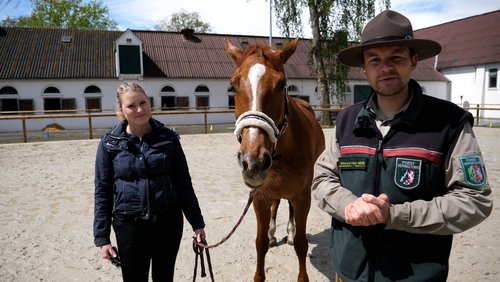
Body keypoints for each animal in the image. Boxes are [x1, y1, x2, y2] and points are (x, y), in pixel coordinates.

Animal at [225, 38, 326, 282]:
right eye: (232, 87)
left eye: (282, 85)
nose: (253, 162)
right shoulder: (260, 196)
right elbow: (260, 243)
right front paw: (267, 238)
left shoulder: (303, 196)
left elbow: (301, 243)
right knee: (277, 203)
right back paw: (273, 234)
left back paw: (288, 232)